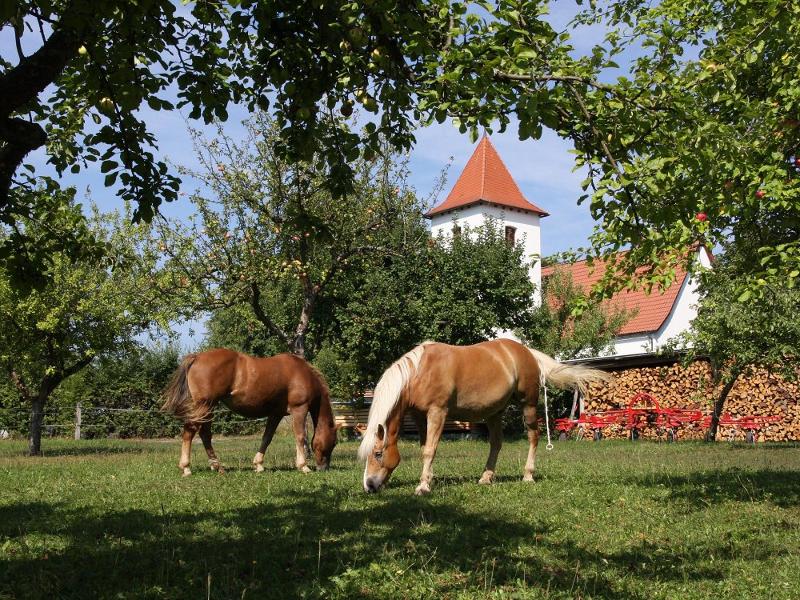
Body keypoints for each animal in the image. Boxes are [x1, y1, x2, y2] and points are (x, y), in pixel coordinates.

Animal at [162, 350, 338, 476]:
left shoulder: (276, 414)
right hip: (204, 406)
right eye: (335, 442)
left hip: (209, 408)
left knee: (205, 434)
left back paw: (217, 466)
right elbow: (301, 437)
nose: (324, 468)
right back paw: (186, 468)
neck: (301, 373)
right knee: (189, 432)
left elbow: (267, 438)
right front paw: (303, 466)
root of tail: (197, 357)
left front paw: (259, 464)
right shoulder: (299, 409)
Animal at [360, 340, 608, 494]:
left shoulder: (437, 412)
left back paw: (528, 476)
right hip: (494, 413)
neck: (420, 371)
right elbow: (425, 448)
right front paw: (429, 478)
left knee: (533, 437)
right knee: (496, 443)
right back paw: (486, 477)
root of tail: (526, 351)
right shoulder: (421, 417)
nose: (369, 486)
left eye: (378, 453)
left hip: (527, 406)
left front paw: (423, 487)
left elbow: (430, 449)